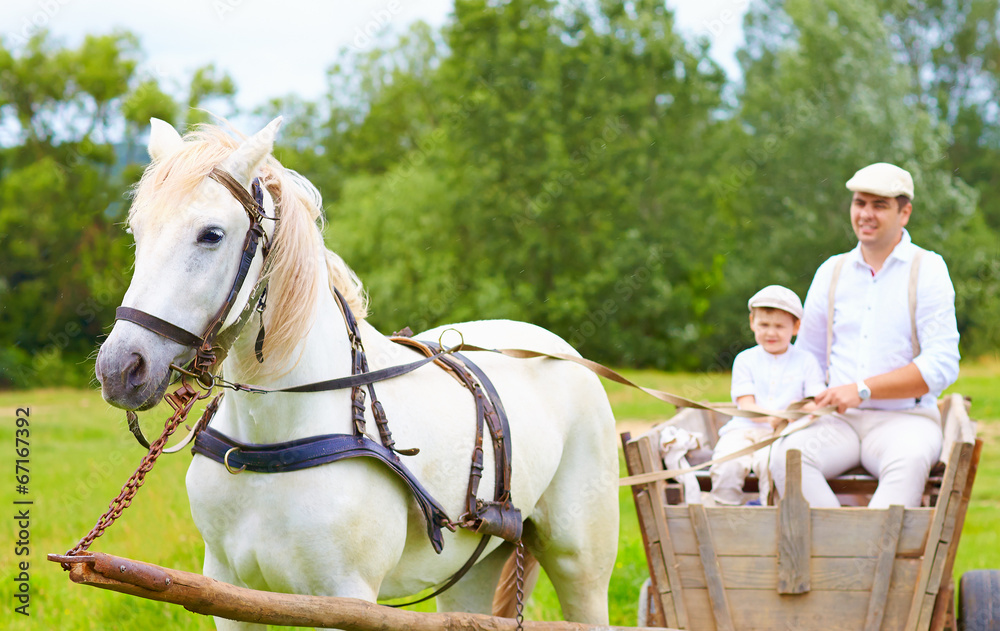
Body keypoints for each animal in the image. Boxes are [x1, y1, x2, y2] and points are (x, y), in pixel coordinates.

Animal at [97, 117, 620, 628]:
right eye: (137, 232)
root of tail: (549, 344)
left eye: (211, 234)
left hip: (581, 563)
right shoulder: (229, 593)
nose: (120, 369)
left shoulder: (346, 598)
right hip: (475, 569)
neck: (270, 444)